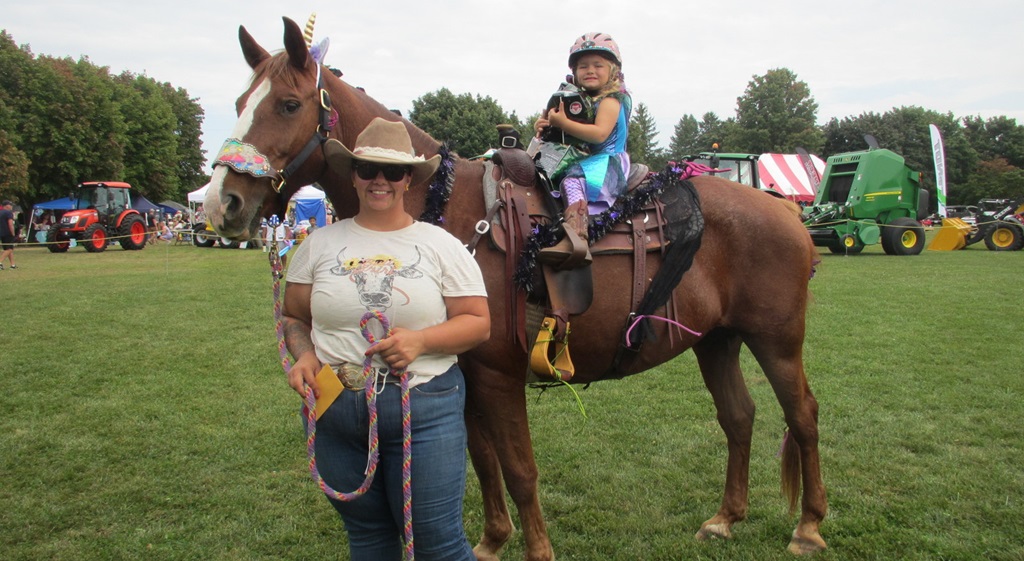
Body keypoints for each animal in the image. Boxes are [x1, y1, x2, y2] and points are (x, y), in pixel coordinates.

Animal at [204, 17, 828, 560]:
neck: (442, 208)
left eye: (289, 104)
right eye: (237, 105)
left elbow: (520, 469)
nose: (222, 203)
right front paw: (492, 540)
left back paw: (808, 528)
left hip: (777, 340)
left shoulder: (499, 376)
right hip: (717, 339)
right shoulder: (465, 375)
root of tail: (785, 212)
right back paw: (726, 518)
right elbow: (483, 461)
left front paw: (535, 550)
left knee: (802, 415)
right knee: (739, 416)